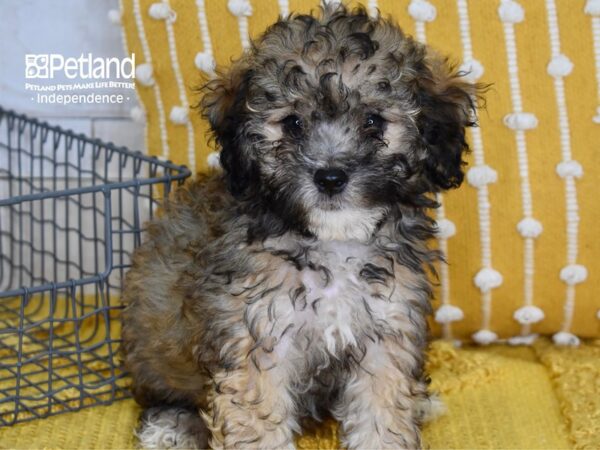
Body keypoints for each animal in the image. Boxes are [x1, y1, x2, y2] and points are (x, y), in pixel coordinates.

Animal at [122, 4, 478, 450]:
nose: (330, 177)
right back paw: (172, 427)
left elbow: (381, 411)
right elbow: (255, 421)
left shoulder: (387, 330)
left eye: (374, 121)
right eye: (292, 124)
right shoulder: (259, 338)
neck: (332, 243)